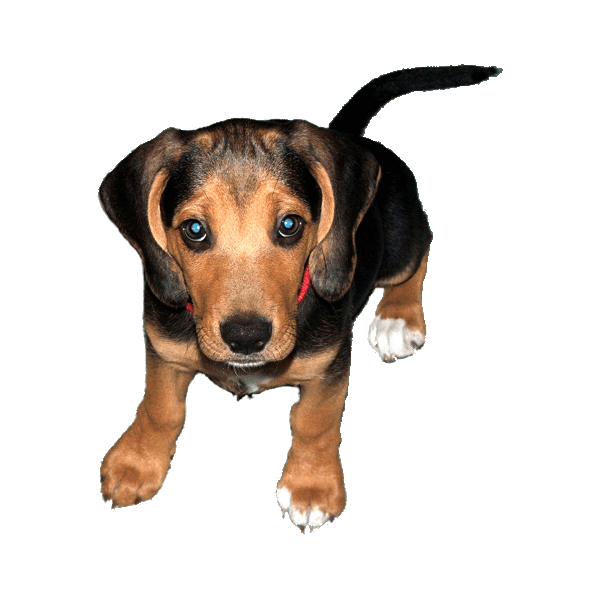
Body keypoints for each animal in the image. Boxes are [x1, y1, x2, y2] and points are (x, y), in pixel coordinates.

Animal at [99, 65, 500, 529]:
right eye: (194, 230)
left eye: (289, 225)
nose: (246, 337)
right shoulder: (163, 347)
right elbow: (161, 408)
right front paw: (136, 463)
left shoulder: (330, 363)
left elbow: (314, 421)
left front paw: (311, 486)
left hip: (401, 241)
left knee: (420, 254)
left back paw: (398, 319)